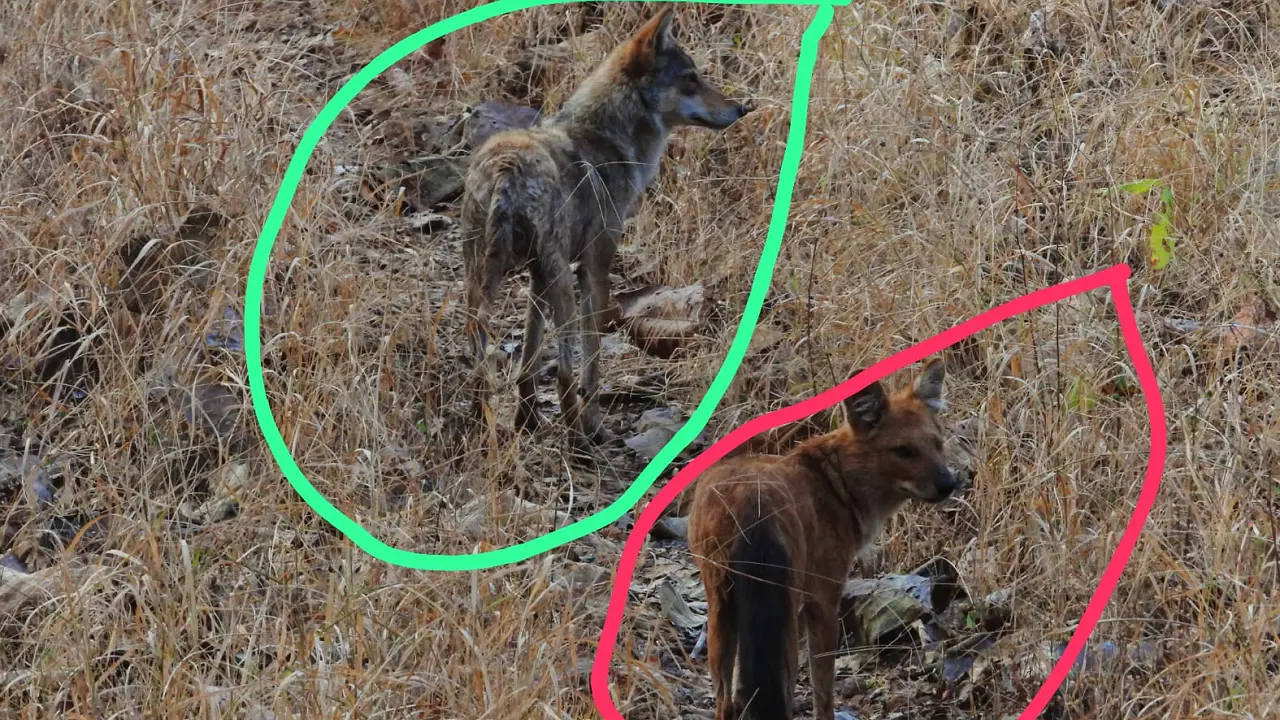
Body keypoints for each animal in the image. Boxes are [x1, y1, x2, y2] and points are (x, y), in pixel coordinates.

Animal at [459, 7, 753, 455]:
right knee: (565, 370)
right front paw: (593, 424)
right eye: (690, 78)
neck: (609, 140)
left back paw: (483, 425)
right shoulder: (593, 266)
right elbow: (590, 364)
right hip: (560, 281)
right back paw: (581, 439)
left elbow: (529, 358)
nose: (742, 108)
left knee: (478, 356)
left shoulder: (536, 278)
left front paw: (526, 420)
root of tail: (507, 167)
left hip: (486, 282)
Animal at [688, 358, 959, 720]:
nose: (949, 483)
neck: (837, 484)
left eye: (938, 444)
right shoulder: (822, 601)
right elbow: (823, 690)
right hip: (783, 613)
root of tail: (751, 500)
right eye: (903, 451)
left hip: (721, 606)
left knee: (726, 701)